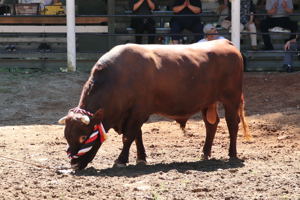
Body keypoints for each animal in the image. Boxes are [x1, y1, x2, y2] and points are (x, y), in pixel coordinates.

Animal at [58, 39, 251, 170]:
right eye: (66, 136)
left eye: (84, 136)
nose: (74, 164)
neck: (117, 79)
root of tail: (225, 43)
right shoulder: (131, 114)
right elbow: (137, 136)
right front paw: (141, 158)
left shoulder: (138, 112)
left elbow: (129, 136)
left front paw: (121, 160)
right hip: (208, 102)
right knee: (211, 125)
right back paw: (205, 153)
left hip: (231, 99)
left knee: (232, 124)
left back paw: (232, 154)